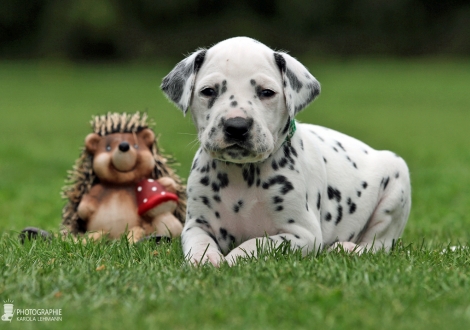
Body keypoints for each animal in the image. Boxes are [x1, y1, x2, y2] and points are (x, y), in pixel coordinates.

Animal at [162, 37, 412, 266]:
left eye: (266, 92)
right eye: (208, 91)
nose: (237, 126)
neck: (243, 175)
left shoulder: (302, 235)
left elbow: (257, 243)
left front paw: (233, 258)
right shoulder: (196, 224)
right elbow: (199, 242)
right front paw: (204, 259)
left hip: (396, 185)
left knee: (377, 245)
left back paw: (348, 248)